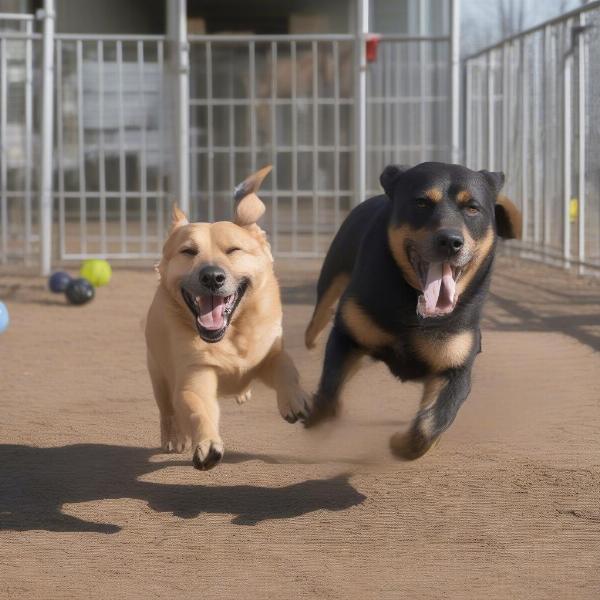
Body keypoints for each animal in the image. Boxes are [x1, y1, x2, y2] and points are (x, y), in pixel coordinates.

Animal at [145, 166, 310, 472]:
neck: (230, 337)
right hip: (157, 369)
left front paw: (295, 400)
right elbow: (196, 406)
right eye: (188, 251)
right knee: (167, 408)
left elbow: (287, 370)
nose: (212, 276)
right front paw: (207, 444)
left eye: (234, 250)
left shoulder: (270, 355)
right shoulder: (195, 373)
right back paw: (174, 437)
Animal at [304, 162, 520, 458]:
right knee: (321, 311)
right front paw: (316, 415)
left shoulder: (454, 366)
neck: (417, 310)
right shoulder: (349, 335)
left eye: (472, 208)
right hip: (334, 269)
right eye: (421, 203)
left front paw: (401, 443)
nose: (450, 241)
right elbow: (329, 393)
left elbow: (431, 424)